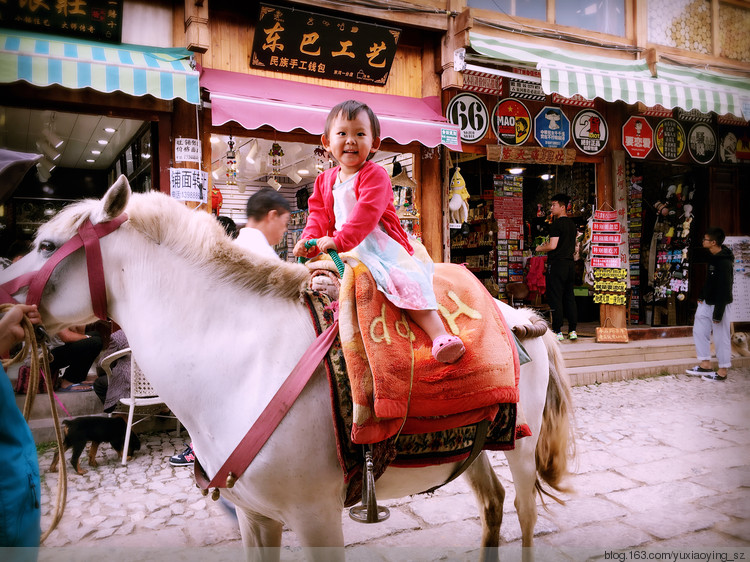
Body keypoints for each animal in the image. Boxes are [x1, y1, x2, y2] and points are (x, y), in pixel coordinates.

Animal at [1, 178, 576, 556]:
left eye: (46, 245)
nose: (2, 297)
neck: (245, 368)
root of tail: (521, 316)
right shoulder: (256, 517)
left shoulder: (317, 519)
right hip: (472, 448)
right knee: (493, 504)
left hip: (521, 447)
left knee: (524, 514)